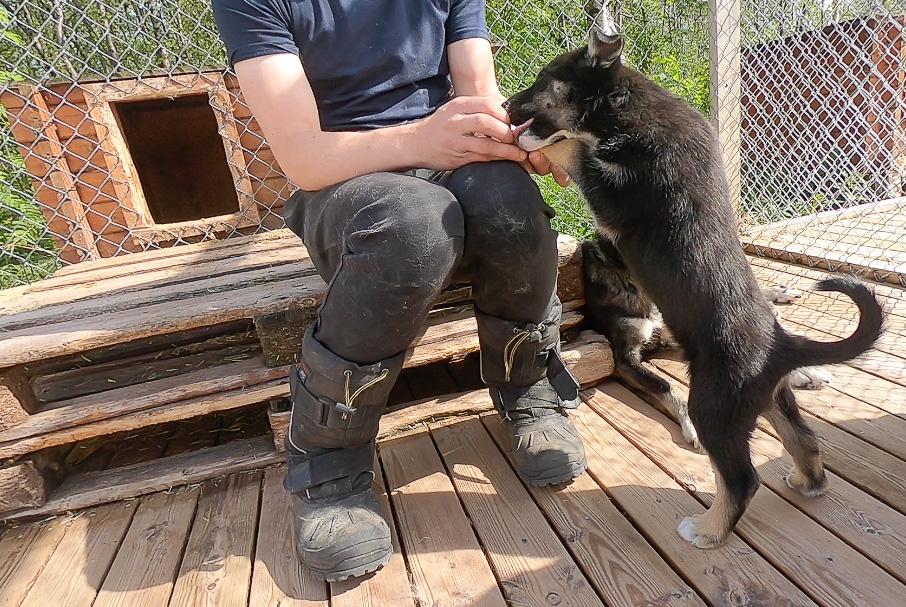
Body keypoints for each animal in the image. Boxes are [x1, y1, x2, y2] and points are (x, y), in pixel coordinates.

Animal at [504, 1, 880, 552]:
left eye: (545, 80)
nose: (506, 106)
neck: (626, 111)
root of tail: (781, 347)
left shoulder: (617, 187)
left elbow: (574, 150)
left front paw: (530, 140)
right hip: (763, 400)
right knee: (805, 441)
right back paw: (805, 481)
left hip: (716, 406)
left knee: (743, 478)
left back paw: (707, 530)